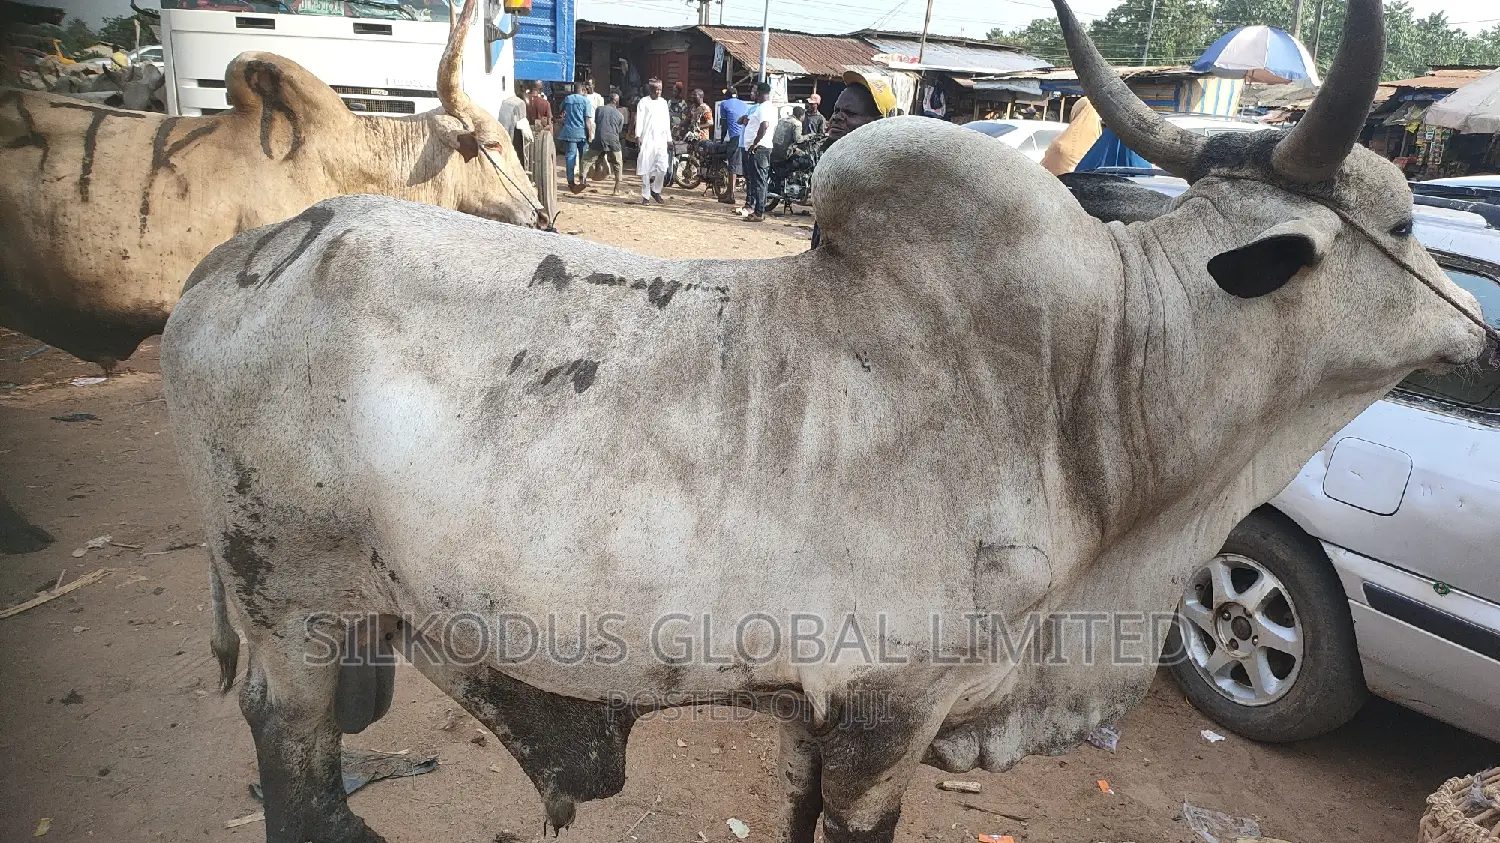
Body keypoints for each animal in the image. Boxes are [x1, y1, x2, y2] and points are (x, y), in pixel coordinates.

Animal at [161, 1, 1496, 841]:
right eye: (1406, 224)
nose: (1480, 330)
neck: (1092, 388)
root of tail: (231, 268)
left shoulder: (812, 712)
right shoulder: (887, 715)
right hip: (291, 611)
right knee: (292, 765)